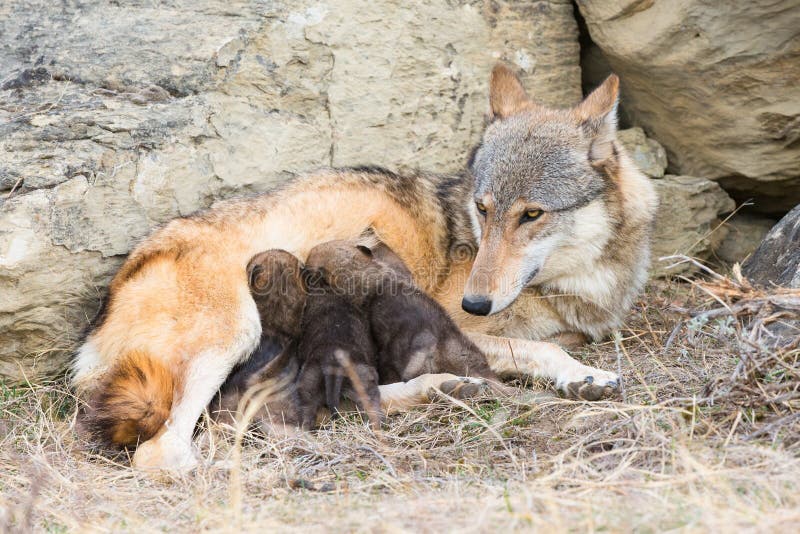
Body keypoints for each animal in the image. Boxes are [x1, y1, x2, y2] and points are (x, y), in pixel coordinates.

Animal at [73, 64, 657, 471]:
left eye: (531, 214)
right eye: (484, 209)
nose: (475, 302)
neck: (582, 282)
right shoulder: (454, 326)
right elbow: (542, 348)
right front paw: (585, 376)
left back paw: (442, 390)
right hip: (234, 332)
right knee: (161, 453)